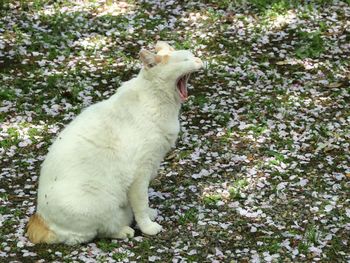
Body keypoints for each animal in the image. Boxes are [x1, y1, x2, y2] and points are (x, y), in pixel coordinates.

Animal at [26, 40, 202, 245]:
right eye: (185, 60)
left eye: (193, 55)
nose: (199, 60)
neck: (160, 102)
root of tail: (40, 218)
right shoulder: (140, 173)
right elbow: (141, 202)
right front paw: (147, 226)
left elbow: (143, 203)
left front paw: (150, 214)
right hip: (97, 202)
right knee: (94, 233)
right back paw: (124, 231)